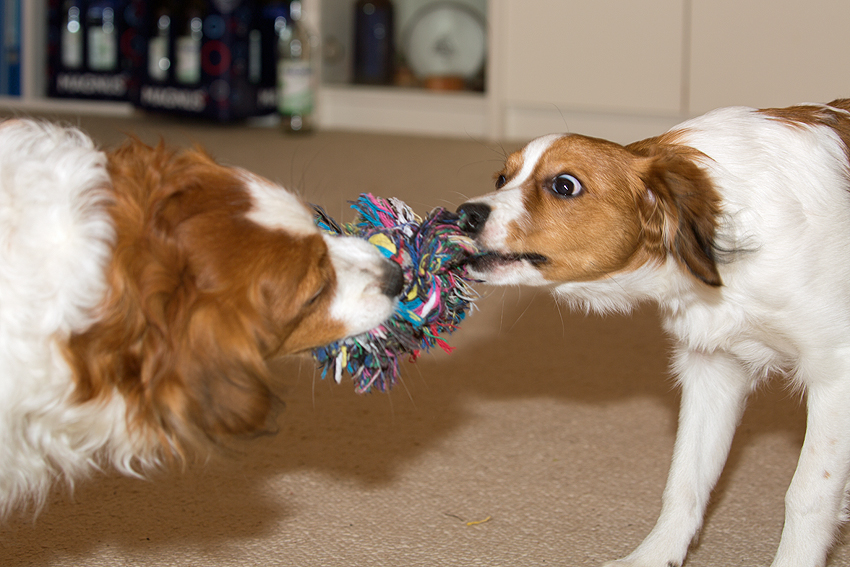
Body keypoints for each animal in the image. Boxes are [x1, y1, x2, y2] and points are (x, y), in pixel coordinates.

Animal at [458, 100, 850, 567]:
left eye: (564, 185)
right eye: (502, 178)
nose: (463, 215)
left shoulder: (836, 375)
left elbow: (807, 496)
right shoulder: (714, 368)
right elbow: (685, 480)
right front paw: (652, 556)